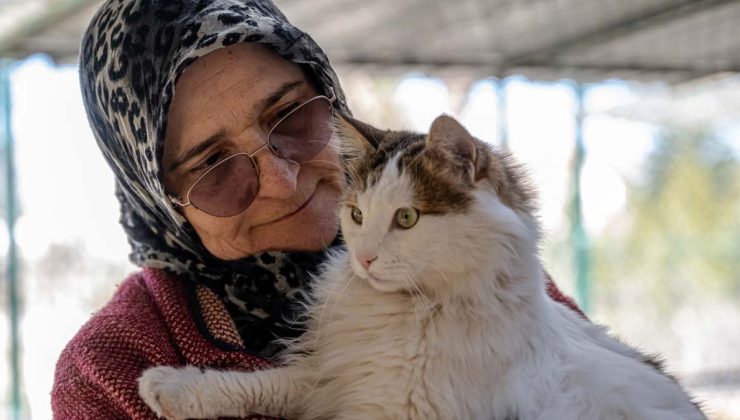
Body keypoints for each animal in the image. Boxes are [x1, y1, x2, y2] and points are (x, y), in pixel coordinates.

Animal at [137, 113, 704, 418]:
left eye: (407, 218)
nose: (364, 258)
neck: (416, 312)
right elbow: (266, 383)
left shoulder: (390, 407)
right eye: (357, 214)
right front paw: (173, 387)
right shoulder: (342, 375)